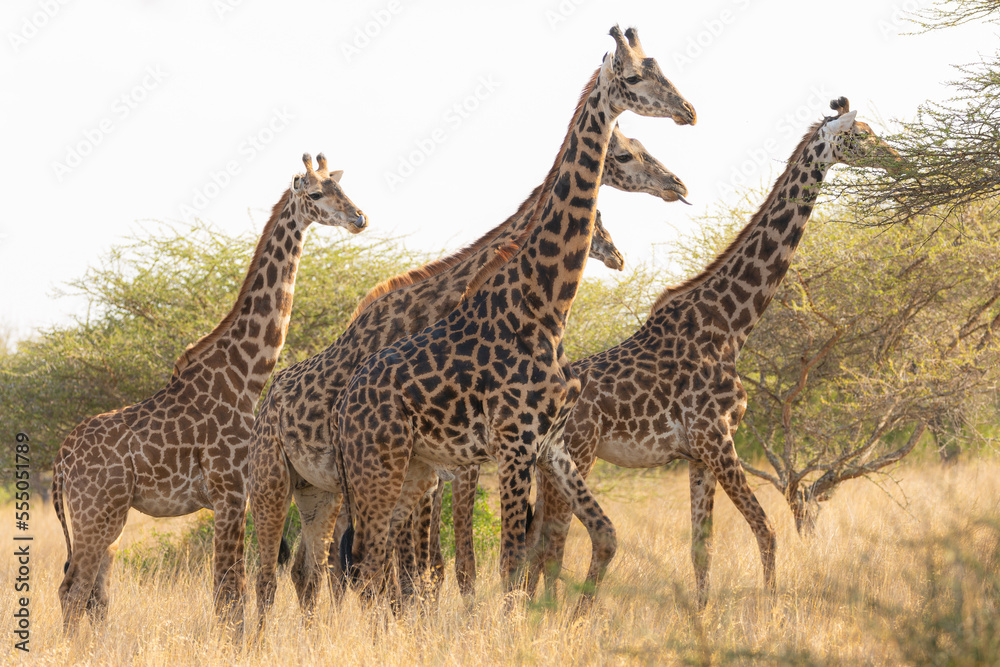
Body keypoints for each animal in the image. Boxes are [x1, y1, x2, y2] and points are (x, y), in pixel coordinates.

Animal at [51, 153, 367, 633]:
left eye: (342, 188)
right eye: (315, 193)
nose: (359, 219)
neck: (246, 375)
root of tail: (60, 462)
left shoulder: (233, 495)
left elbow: (228, 592)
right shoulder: (230, 491)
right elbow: (229, 592)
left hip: (110, 518)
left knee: (94, 595)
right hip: (95, 514)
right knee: (73, 592)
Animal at [250, 118, 689, 627]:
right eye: (624, 155)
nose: (676, 185)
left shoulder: (449, 466)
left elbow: (437, 564)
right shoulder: (452, 466)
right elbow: (435, 564)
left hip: (325, 488)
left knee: (315, 568)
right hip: (295, 478)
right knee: (299, 566)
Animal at [334, 26, 696, 606]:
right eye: (637, 76)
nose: (689, 111)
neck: (545, 303)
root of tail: (346, 406)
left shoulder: (548, 443)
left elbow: (596, 536)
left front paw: (572, 612)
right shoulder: (510, 443)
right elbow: (502, 564)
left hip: (410, 470)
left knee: (377, 564)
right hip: (378, 468)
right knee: (366, 564)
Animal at [524, 98, 901, 608]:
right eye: (861, 135)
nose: (898, 158)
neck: (731, 325)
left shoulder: (699, 453)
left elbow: (702, 546)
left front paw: (703, 615)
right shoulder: (717, 438)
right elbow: (766, 530)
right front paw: (771, 607)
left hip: (555, 463)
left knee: (538, 539)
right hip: (578, 452)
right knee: (553, 538)